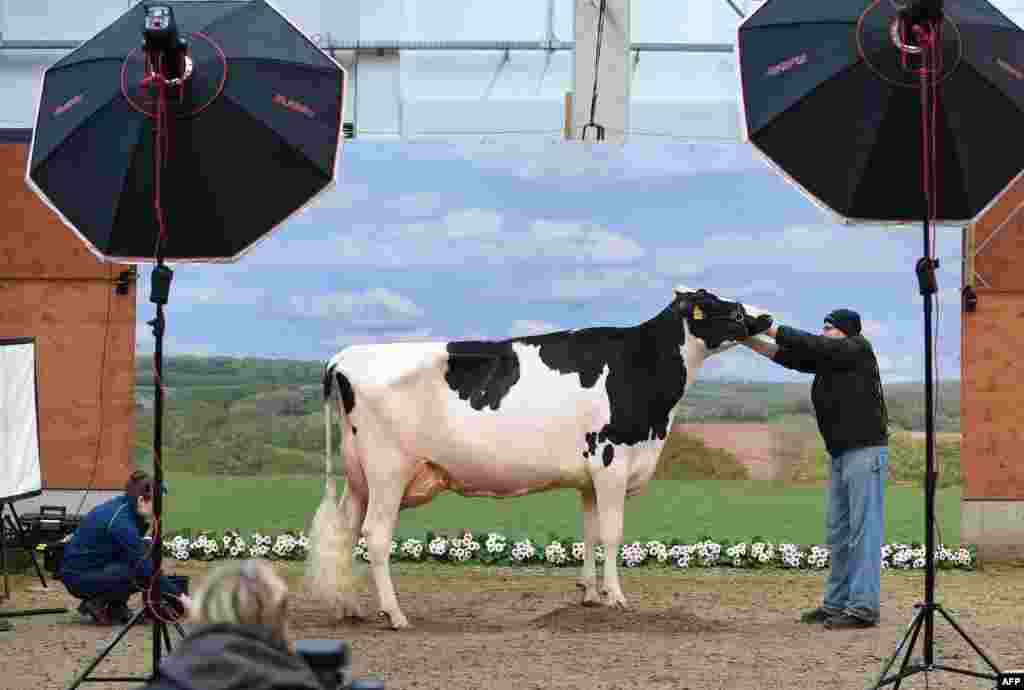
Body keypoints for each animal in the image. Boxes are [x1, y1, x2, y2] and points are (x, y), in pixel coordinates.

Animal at [307, 282, 770, 626]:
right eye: (729, 310)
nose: (766, 318)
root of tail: (347, 355)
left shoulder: (589, 476)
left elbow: (589, 532)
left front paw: (589, 595)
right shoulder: (612, 460)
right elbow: (612, 533)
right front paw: (617, 597)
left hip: (360, 476)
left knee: (347, 530)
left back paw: (350, 607)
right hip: (388, 470)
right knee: (375, 536)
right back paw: (395, 614)